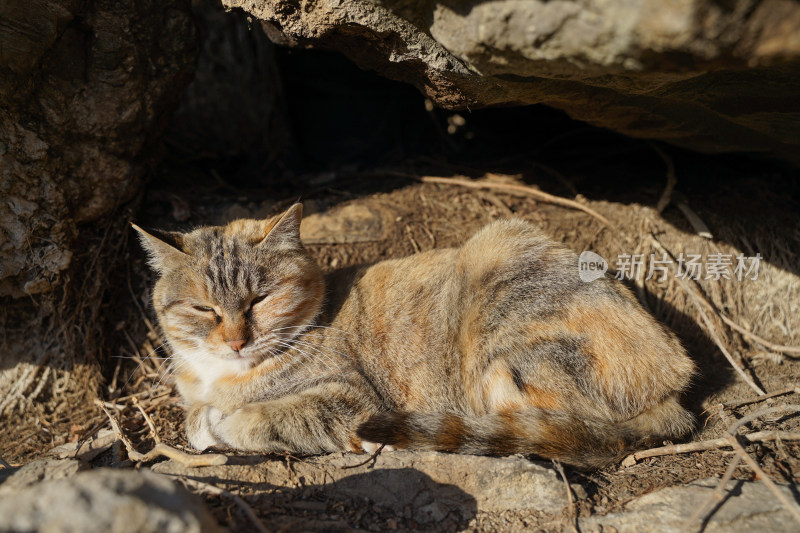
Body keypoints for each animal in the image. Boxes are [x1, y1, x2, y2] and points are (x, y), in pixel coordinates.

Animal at [134, 202, 696, 468]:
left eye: (259, 300)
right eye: (203, 308)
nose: (236, 341)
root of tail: (675, 382)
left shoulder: (350, 399)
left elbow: (257, 418)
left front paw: (221, 423)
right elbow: (196, 417)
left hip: (499, 291)